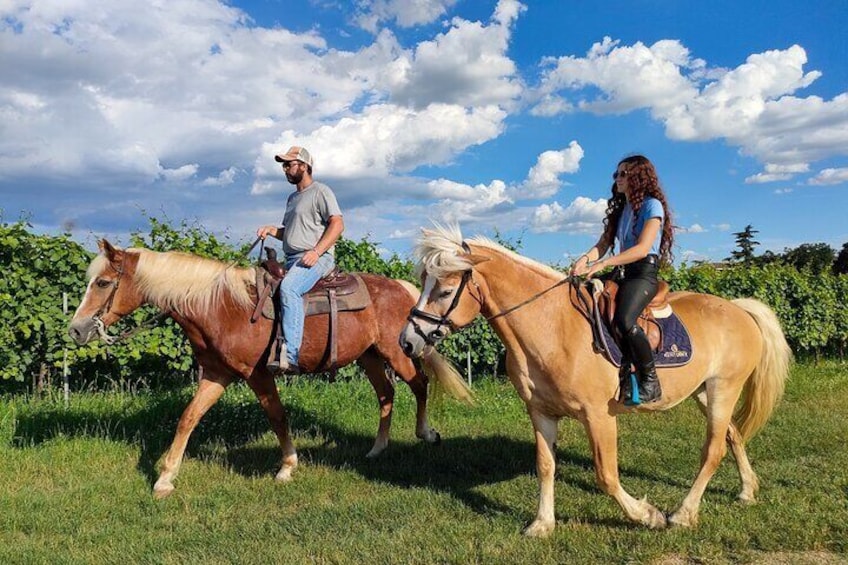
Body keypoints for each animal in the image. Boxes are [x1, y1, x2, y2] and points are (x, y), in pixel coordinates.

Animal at [69, 238, 474, 498]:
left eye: (103, 282)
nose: (76, 329)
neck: (219, 306)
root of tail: (404, 288)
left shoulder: (258, 374)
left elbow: (277, 416)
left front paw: (287, 467)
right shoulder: (217, 374)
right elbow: (188, 418)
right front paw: (165, 479)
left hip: (396, 351)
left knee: (419, 384)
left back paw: (426, 433)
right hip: (369, 356)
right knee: (387, 394)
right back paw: (377, 449)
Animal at [400, 224, 792, 532]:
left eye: (444, 291)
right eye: (422, 283)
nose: (407, 341)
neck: (552, 327)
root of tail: (739, 309)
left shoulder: (599, 416)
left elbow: (606, 475)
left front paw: (647, 515)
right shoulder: (540, 413)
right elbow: (545, 466)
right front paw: (542, 524)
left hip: (724, 388)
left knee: (713, 450)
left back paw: (682, 514)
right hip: (704, 393)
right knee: (733, 436)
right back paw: (746, 491)